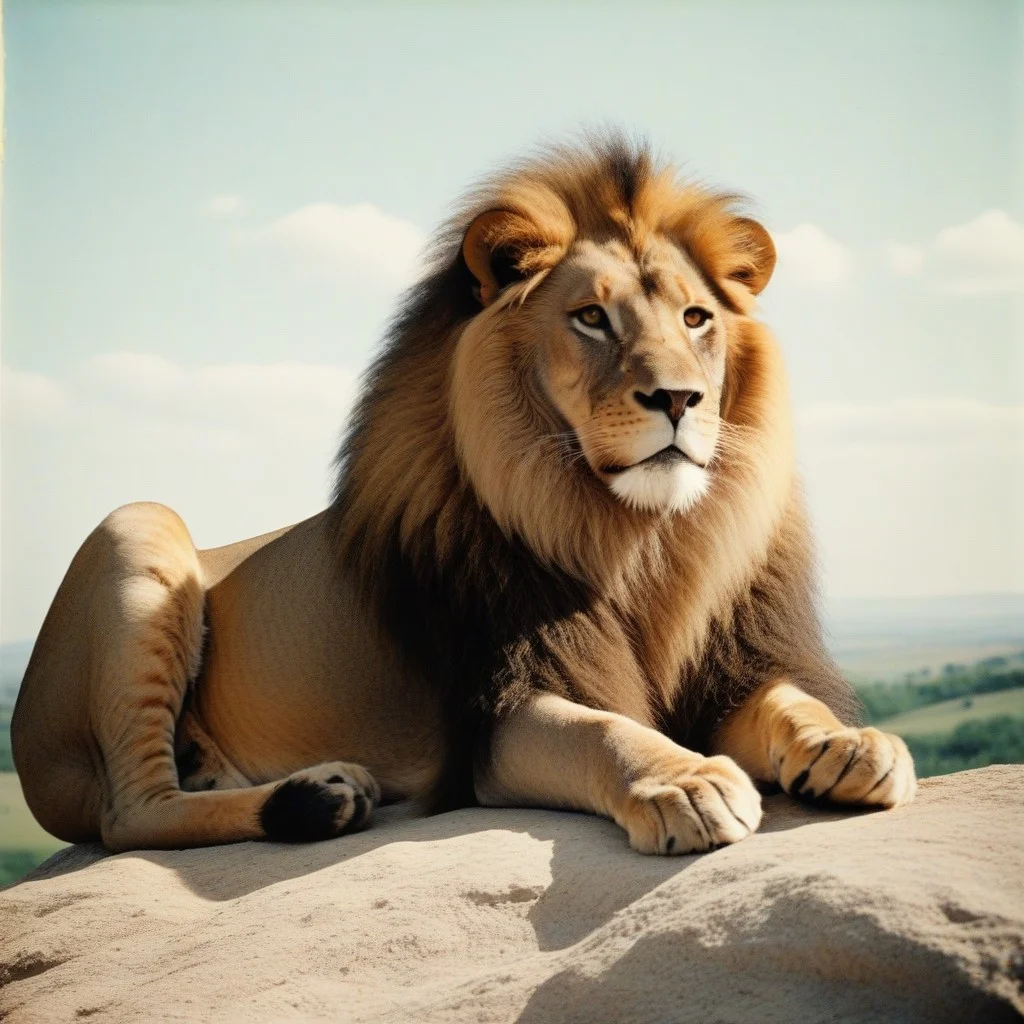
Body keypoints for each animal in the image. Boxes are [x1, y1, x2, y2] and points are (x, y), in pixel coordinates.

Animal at [12, 136, 916, 856]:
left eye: (697, 318)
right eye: (592, 318)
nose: (679, 399)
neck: (640, 538)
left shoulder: (732, 667)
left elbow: (788, 701)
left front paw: (850, 743)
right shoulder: (495, 711)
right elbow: (603, 731)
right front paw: (685, 783)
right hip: (137, 527)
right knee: (130, 814)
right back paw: (316, 801)